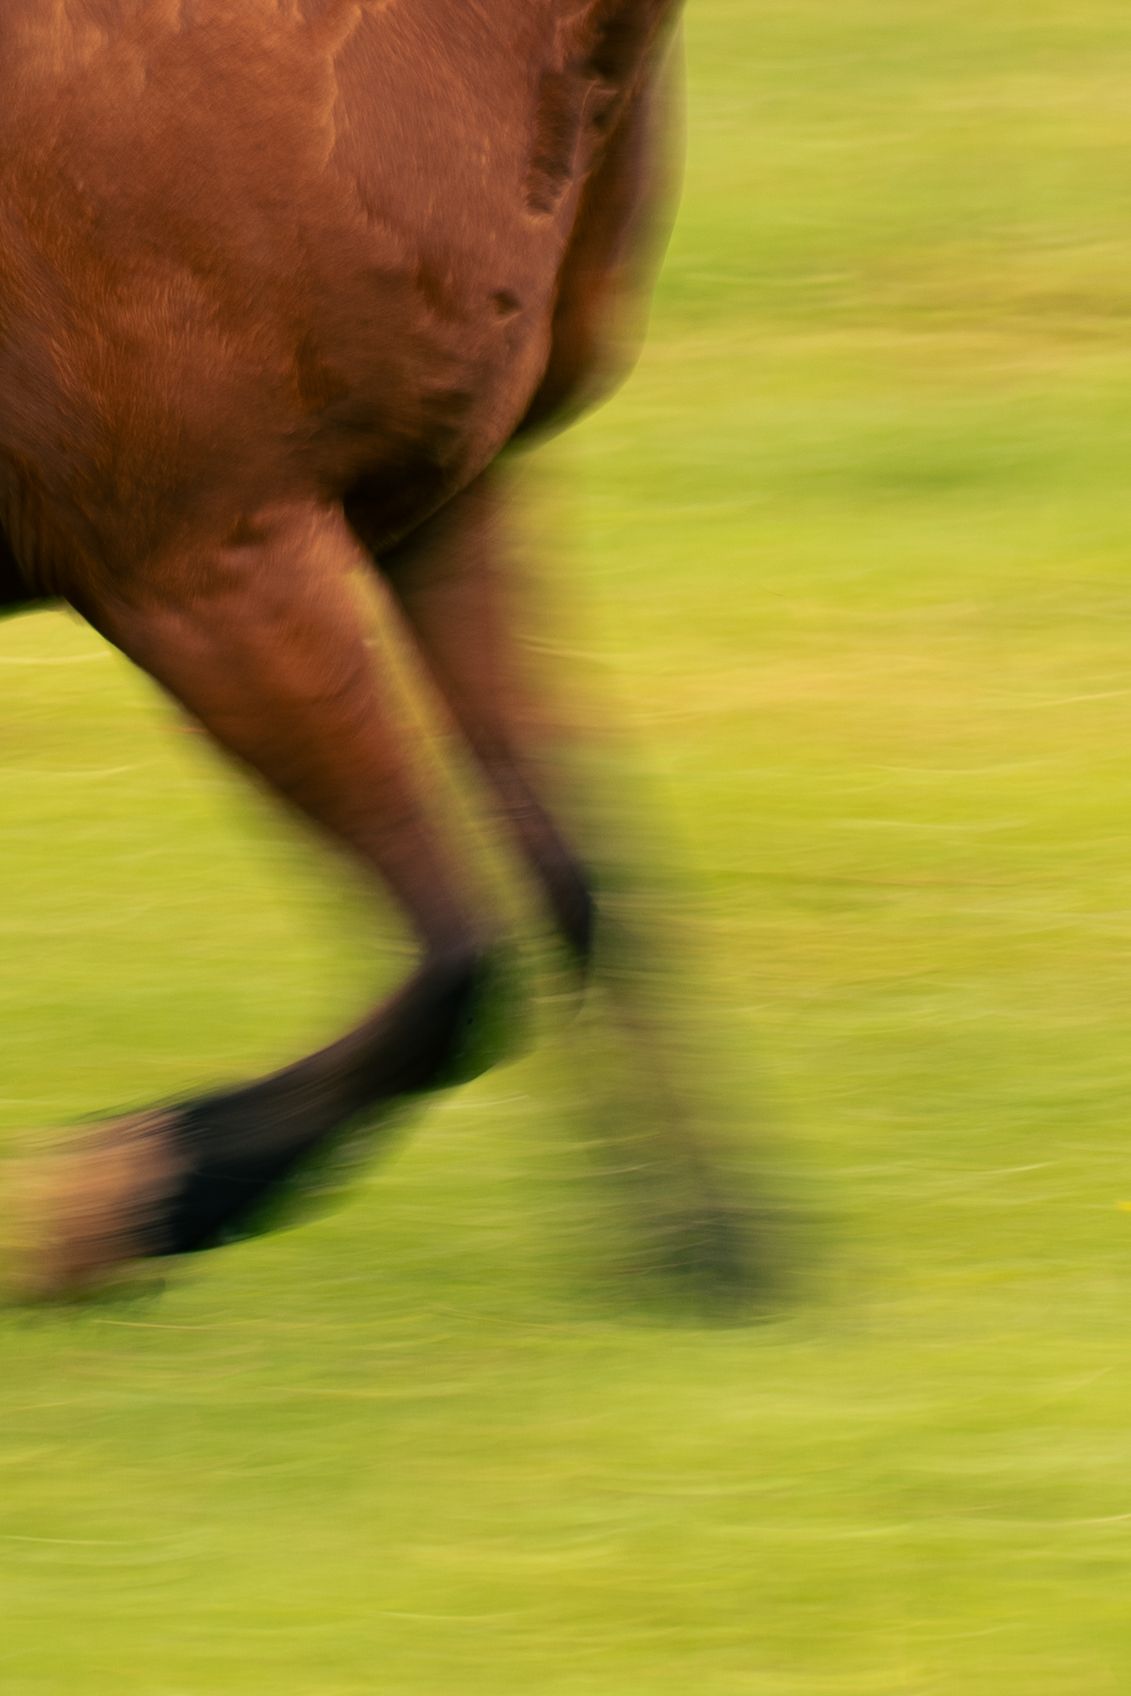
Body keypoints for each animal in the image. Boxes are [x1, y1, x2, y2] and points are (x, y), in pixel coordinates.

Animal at [1, 0, 746, 1300]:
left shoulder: (446, 514)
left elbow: (588, 890)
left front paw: (724, 1263)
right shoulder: (213, 572)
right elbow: (458, 968)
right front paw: (112, 1206)